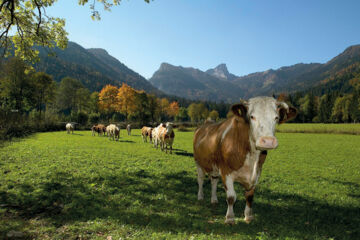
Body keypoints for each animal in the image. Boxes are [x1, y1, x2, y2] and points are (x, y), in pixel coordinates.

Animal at [193, 96, 296, 224]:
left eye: (276, 117)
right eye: (252, 116)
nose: (268, 141)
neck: (251, 158)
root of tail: (205, 123)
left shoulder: (257, 173)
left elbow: (249, 197)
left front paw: (248, 216)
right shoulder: (226, 171)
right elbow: (231, 197)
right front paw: (230, 218)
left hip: (214, 166)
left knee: (214, 180)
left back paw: (214, 199)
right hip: (198, 162)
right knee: (200, 179)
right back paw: (200, 196)